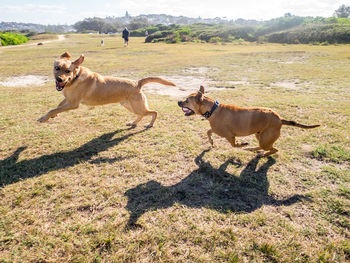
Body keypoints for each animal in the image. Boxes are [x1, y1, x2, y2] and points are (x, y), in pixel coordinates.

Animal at [37, 51, 178, 128]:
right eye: (57, 68)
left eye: (68, 71)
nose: (60, 79)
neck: (74, 79)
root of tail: (137, 83)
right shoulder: (68, 99)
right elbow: (57, 107)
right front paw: (50, 116)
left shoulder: (73, 104)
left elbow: (54, 109)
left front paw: (44, 118)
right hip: (129, 106)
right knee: (141, 115)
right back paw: (133, 123)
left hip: (137, 106)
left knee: (154, 112)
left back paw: (150, 124)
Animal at [178, 86, 320, 157]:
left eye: (187, 100)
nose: (178, 101)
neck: (213, 109)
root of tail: (280, 119)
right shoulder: (217, 130)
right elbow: (208, 132)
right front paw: (211, 142)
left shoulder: (230, 136)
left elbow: (234, 145)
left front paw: (242, 144)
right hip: (260, 136)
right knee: (266, 147)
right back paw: (252, 149)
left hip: (265, 139)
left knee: (274, 149)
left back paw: (261, 154)